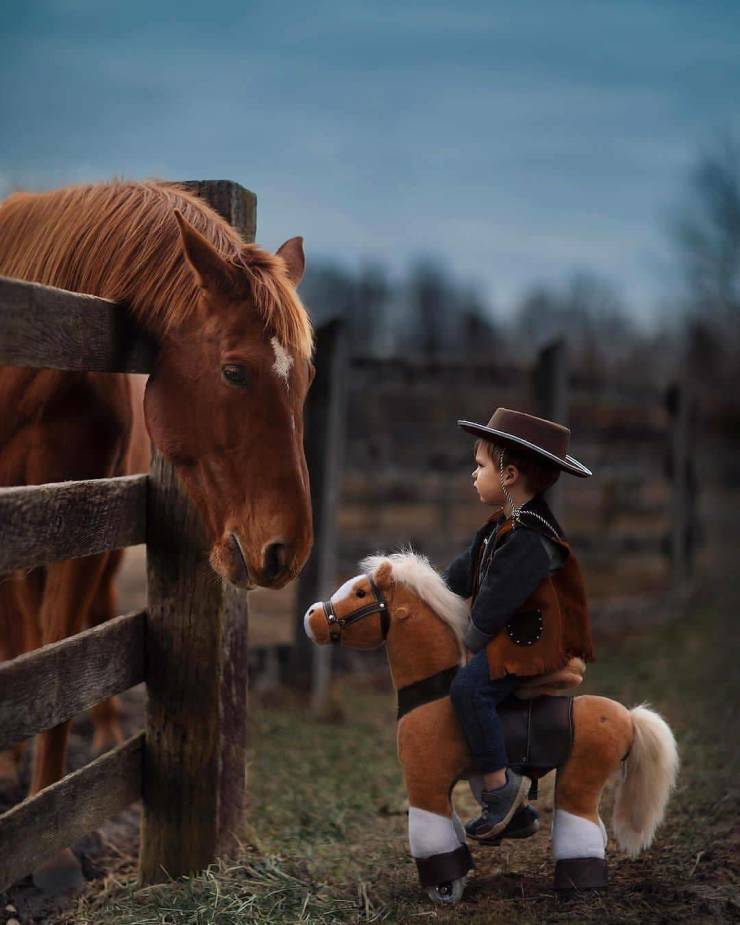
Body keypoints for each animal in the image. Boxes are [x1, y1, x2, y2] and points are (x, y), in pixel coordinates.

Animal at [304, 552, 680, 904]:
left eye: (360, 592)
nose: (312, 616)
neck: (433, 697)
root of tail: (629, 718)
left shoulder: (425, 783)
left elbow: (433, 838)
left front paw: (444, 888)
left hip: (579, 778)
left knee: (581, 823)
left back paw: (579, 887)